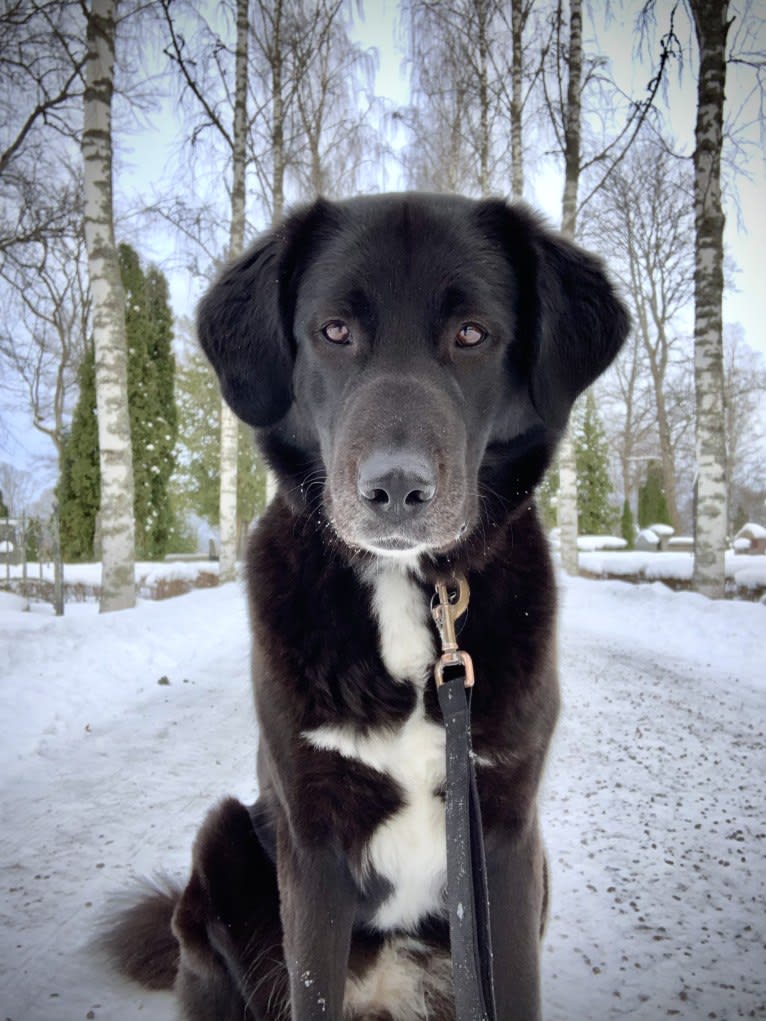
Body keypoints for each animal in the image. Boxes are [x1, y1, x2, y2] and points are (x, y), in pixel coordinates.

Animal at [102, 192, 629, 1021]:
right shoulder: (312, 840)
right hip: (224, 841)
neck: (409, 589)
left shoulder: (506, 837)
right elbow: (312, 985)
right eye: (334, 330)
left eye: (471, 332)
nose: (397, 487)